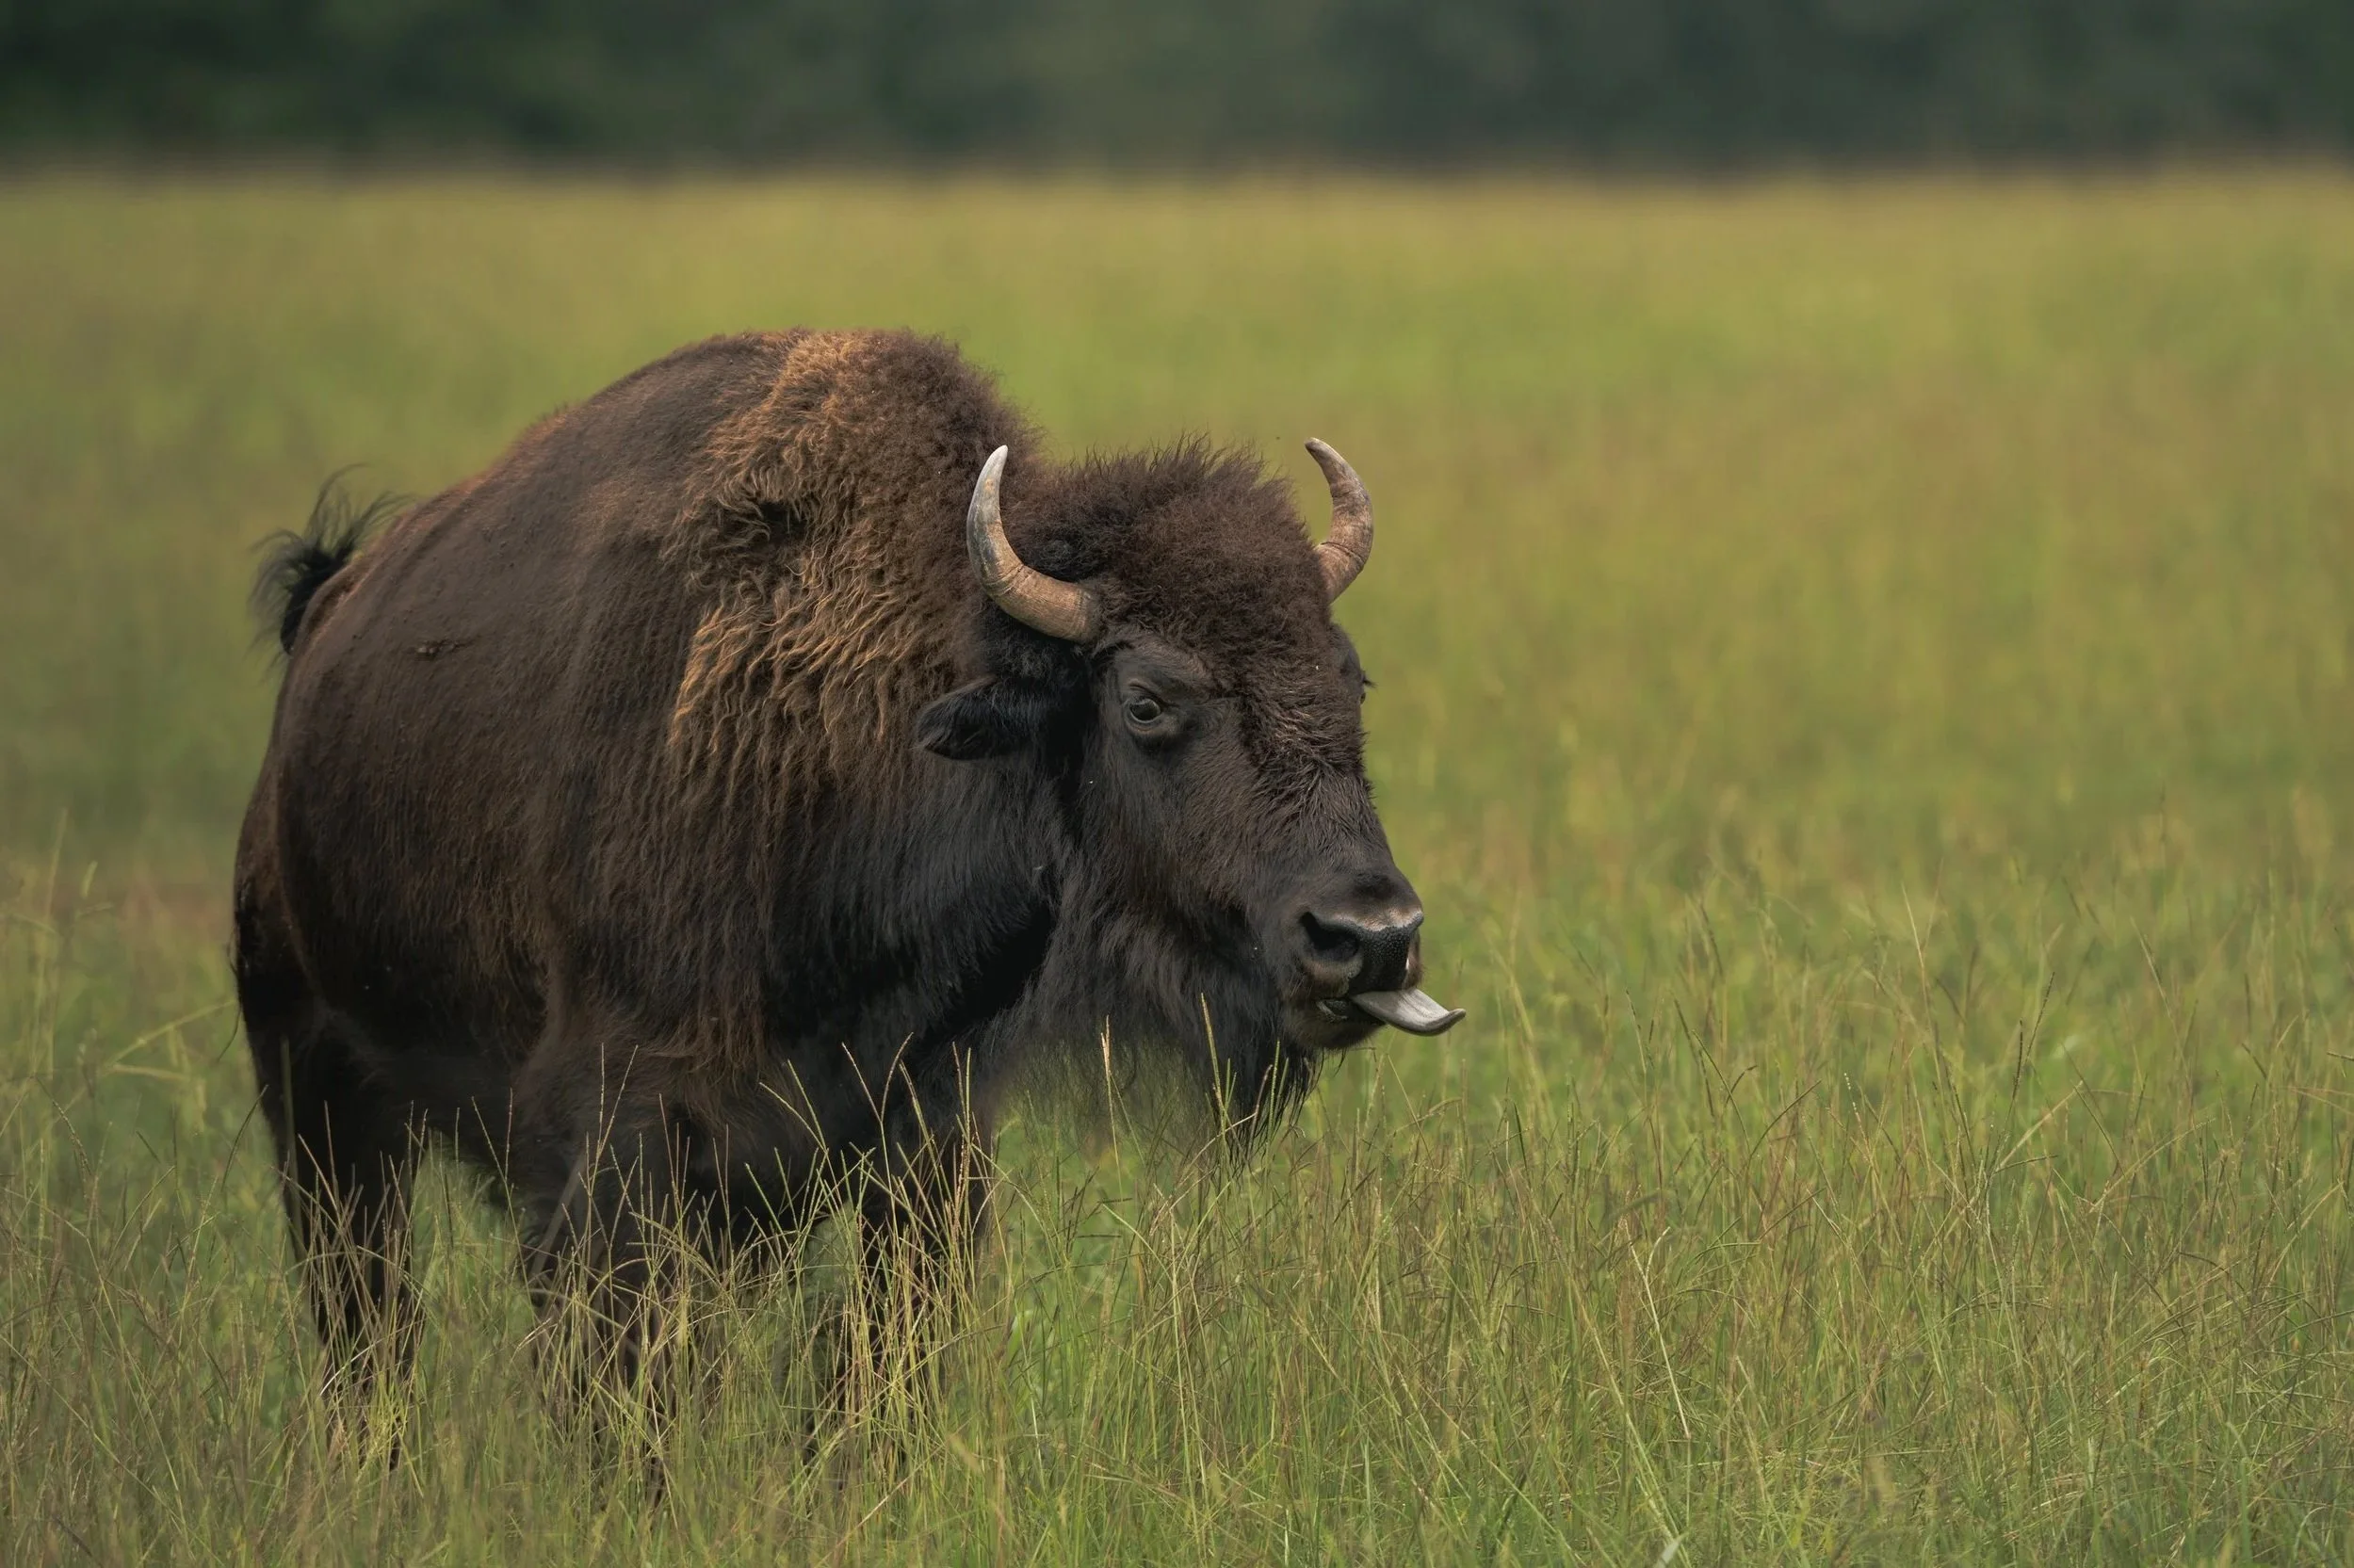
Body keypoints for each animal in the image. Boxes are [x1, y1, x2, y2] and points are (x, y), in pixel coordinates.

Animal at [234, 328, 1460, 1419]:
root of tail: (327, 619)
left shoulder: (925, 1143)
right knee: (367, 1324)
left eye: (1349, 677)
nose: (1371, 933)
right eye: (1147, 699)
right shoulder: (617, 1135)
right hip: (316, 1094)